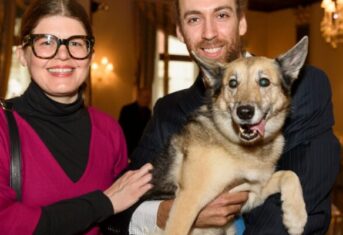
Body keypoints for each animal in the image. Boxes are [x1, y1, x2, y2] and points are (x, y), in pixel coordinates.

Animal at [148, 36, 312, 235]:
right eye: (233, 83)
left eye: (264, 82)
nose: (245, 112)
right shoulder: (187, 201)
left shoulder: (250, 195)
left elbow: (289, 174)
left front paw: (296, 216)